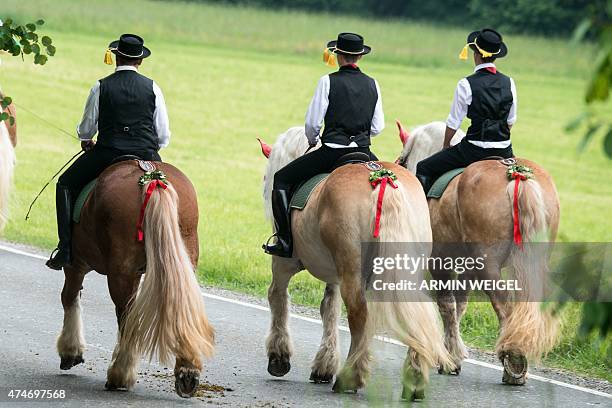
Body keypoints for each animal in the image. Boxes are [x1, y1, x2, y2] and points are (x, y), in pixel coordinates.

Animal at [56, 160, 215, 398]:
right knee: (182, 309)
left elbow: (69, 297)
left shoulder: (77, 264)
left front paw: (70, 352)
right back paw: (187, 372)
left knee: (126, 317)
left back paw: (119, 375)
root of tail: (152, 177)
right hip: (183, 262)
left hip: (120, 273)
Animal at [396, 119, 560, 384]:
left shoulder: (439, 262)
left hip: (489, 267)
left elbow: (446, 305)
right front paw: (452, 355)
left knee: (504, 307)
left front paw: (443, 357)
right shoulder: (467, 266)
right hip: (532, 263)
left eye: (402, 161)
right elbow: (459, 305)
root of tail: (518, 176)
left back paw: (513, 361)